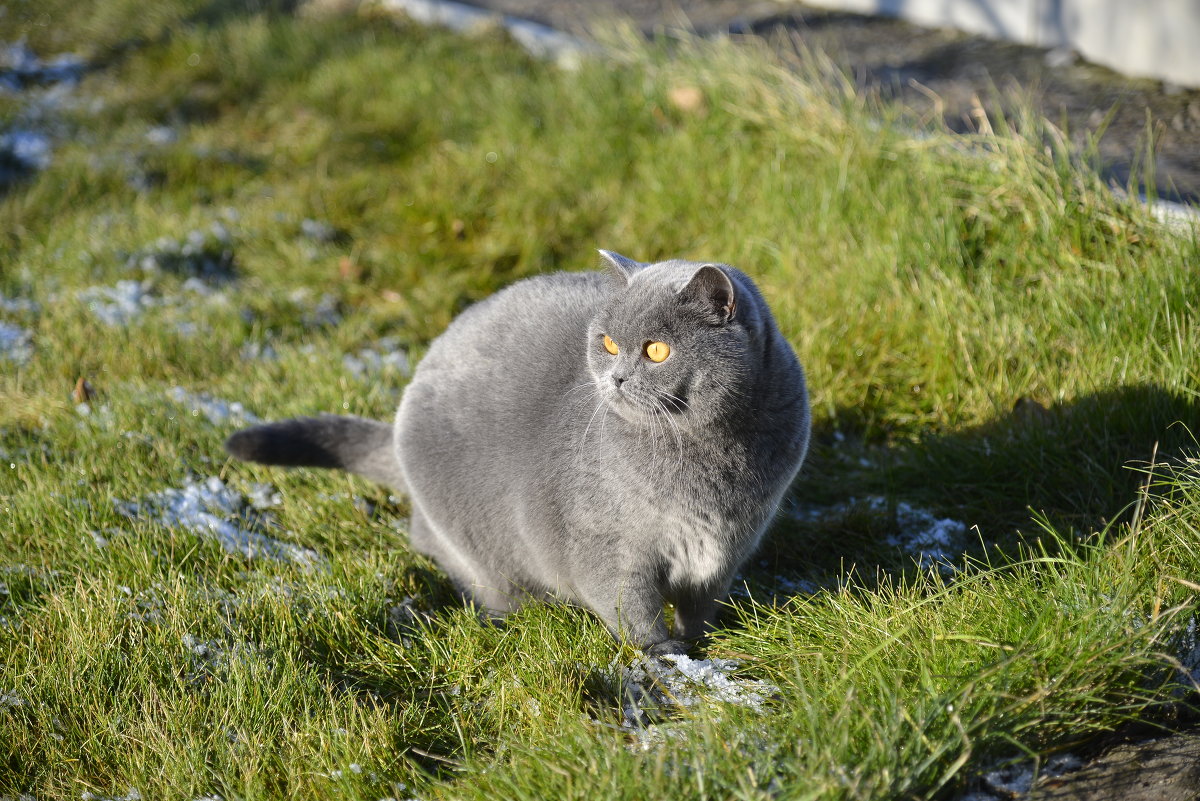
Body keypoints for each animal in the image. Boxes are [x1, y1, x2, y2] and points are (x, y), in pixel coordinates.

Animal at [226, 251, 806, 657]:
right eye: (608, 343)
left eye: (657, 350)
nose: (616, 378)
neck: (710, 453)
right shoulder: (608, 543)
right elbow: (631, 605)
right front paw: (663, 654)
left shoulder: (729, 544)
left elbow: (700, 604)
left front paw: (697, 643)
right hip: (473, 536)